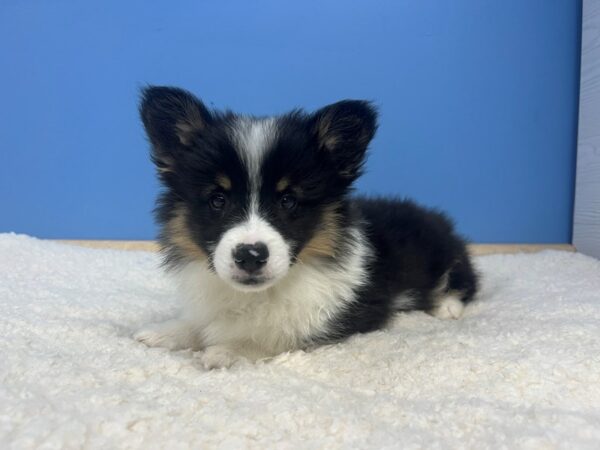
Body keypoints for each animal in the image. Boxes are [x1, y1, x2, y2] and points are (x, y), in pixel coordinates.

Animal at [134, 87, 476, 370]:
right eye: (218, 199)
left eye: (288, 200)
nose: (250, 256)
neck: (260, 294)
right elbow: (197, 323)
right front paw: (164, 332)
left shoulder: (348, 315)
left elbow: (281, 336)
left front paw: (227, 350)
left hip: (445, 256)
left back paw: (447, 306)